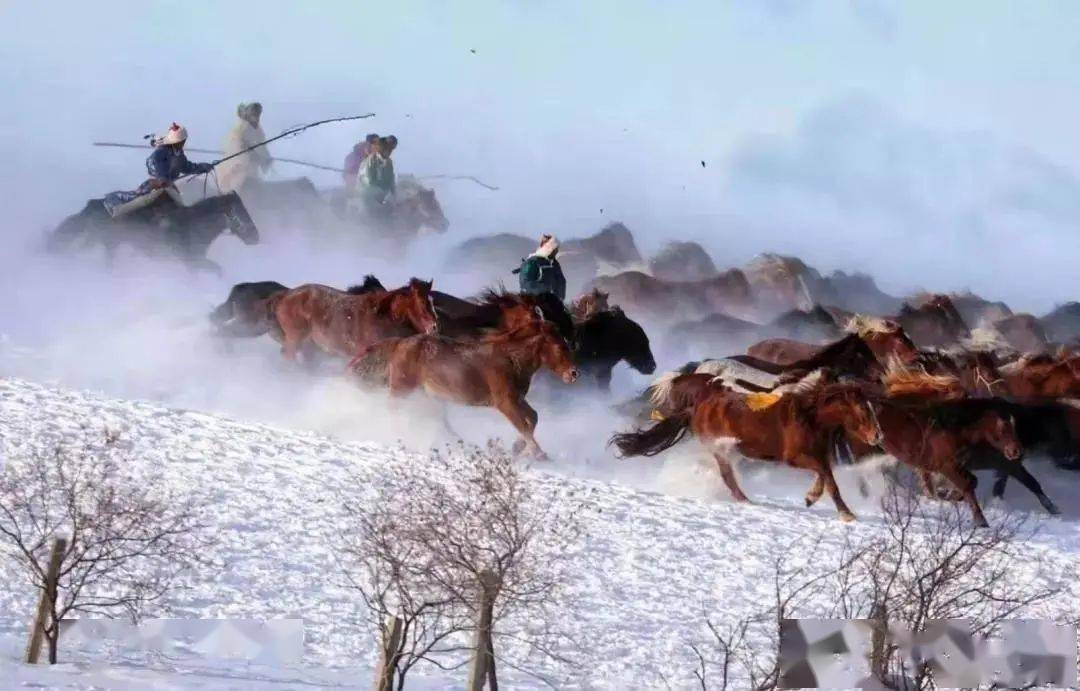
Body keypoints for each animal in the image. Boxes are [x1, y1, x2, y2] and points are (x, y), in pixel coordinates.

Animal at [50, 192, 261, 275]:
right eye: (238, 211)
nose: (255, 236)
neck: (193, 224)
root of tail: (95, 205)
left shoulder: (196, 261)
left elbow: (218, 270)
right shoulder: (191, 262)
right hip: (110, 244)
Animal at [270, 278, 438, 362]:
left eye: (432, 301)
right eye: (422, 302)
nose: (434, 327)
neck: (381, 317)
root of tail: (284, 296)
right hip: (294, 341)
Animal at [349, 319, 578, 457]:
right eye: (559, 346)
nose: (574, 373)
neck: (511, 359)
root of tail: (400, 343)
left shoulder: (517, 399)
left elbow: (533, 417)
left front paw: (517, 448)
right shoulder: (505, 402)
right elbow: (523, 424)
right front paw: (538, 453)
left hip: (426, 393)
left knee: (437, 418)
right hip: (402, 388)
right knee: (394, 409)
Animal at [613, 375, 881, 520]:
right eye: (861, 409)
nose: (877, 436)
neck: (809, 417)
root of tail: (699, 403)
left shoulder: (819, 455)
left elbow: (825, 475)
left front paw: (811, 498)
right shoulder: (793, 457)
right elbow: (829, 479)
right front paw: (846, 514)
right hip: (719, 449)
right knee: (727, 476)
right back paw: (746, 501)